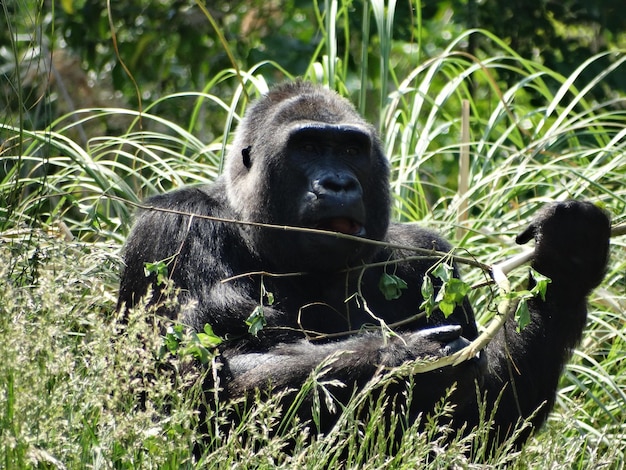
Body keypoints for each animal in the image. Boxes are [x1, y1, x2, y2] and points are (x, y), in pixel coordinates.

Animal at [117, 81, 608, 452]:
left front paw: (568, 260)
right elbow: (191, 379)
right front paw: (405, 355)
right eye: (308, 146)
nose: (338, 183)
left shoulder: (427, 255)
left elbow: (479, 427)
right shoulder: (174, 225)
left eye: (351, 150)